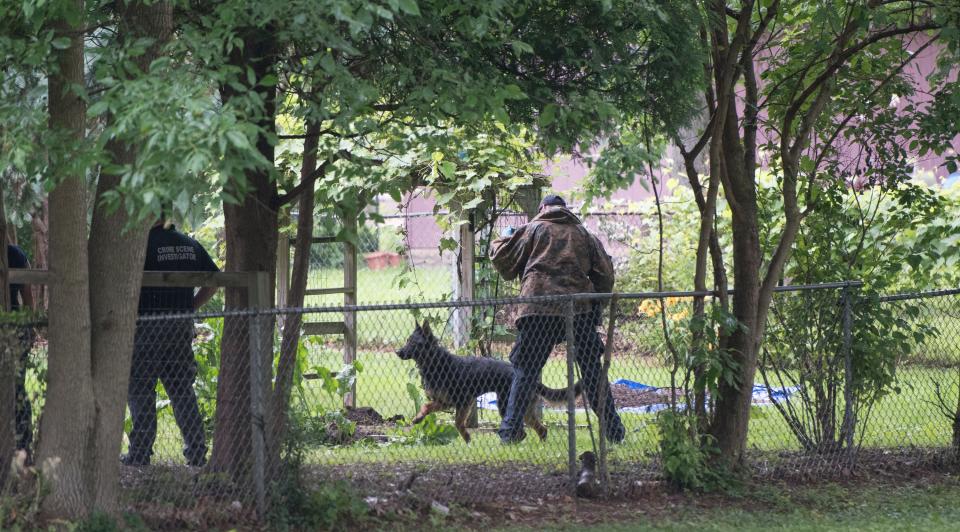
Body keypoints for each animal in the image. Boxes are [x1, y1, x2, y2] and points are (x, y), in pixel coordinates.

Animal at [396, 322, 580, 442]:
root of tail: (532, 379)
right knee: (541, 429)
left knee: (524, 432)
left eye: (413, 343)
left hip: (507, 406)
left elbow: (457, 423)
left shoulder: (464, 401)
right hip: (523, 409)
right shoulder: (444, 402)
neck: (435, 363)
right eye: (407, 341)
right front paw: (418, 418)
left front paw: (467, 438)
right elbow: (426, 406)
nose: (397, 352)